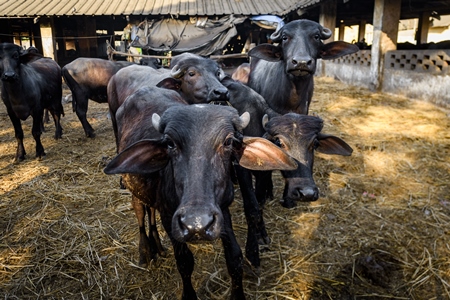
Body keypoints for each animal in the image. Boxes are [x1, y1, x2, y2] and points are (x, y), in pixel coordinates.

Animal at [103, 85, 298, 298]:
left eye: (229, 142)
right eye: (170, 143)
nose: (196, 224)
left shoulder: (222, 211)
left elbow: (234, 257)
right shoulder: (169, 216)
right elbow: (184, 262)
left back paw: (158, 247)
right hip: (133, 187)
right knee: (140, 210)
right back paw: (145, 250)